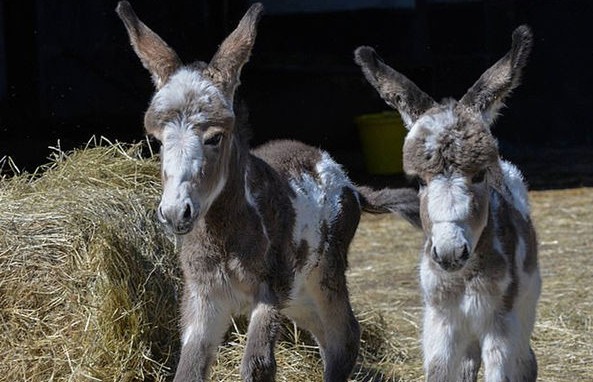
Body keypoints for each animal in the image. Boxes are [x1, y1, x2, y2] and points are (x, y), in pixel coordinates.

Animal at [117, 2, 420, 382]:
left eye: (214, 138)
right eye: (157, 141)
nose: (175, 213)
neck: (223, 236)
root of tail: (350, 183)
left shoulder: (269, 293)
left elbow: (258, 366)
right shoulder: (204, 298)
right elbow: (189, 368)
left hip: (324, 272)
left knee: (345, 337)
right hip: (299, 289)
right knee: (324, 333)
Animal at [356, 25, 540, 380]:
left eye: (479, 174)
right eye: (418, 181)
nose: (450, 252)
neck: (464, 277)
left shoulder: (500, 324)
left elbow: (499, 371)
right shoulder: (441, 322)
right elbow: (439, 371)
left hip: (523, 312)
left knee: (526, 362)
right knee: (468, 364)